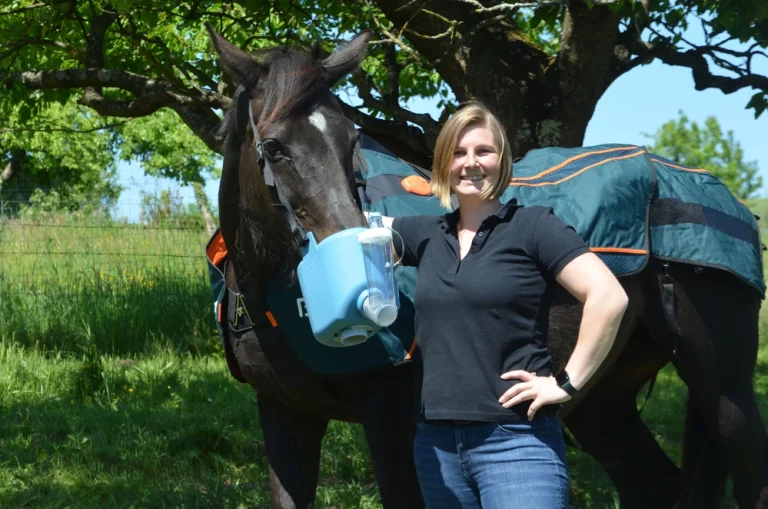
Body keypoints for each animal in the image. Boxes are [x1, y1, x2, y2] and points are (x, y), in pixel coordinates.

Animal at [205, 26, 768, 509]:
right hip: (603, 402)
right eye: (274, 146)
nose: (360, 254)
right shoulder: (285, 417)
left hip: (725, 390)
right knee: (655, 486)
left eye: (351, 139)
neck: (272, 296)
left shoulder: (392, 420)